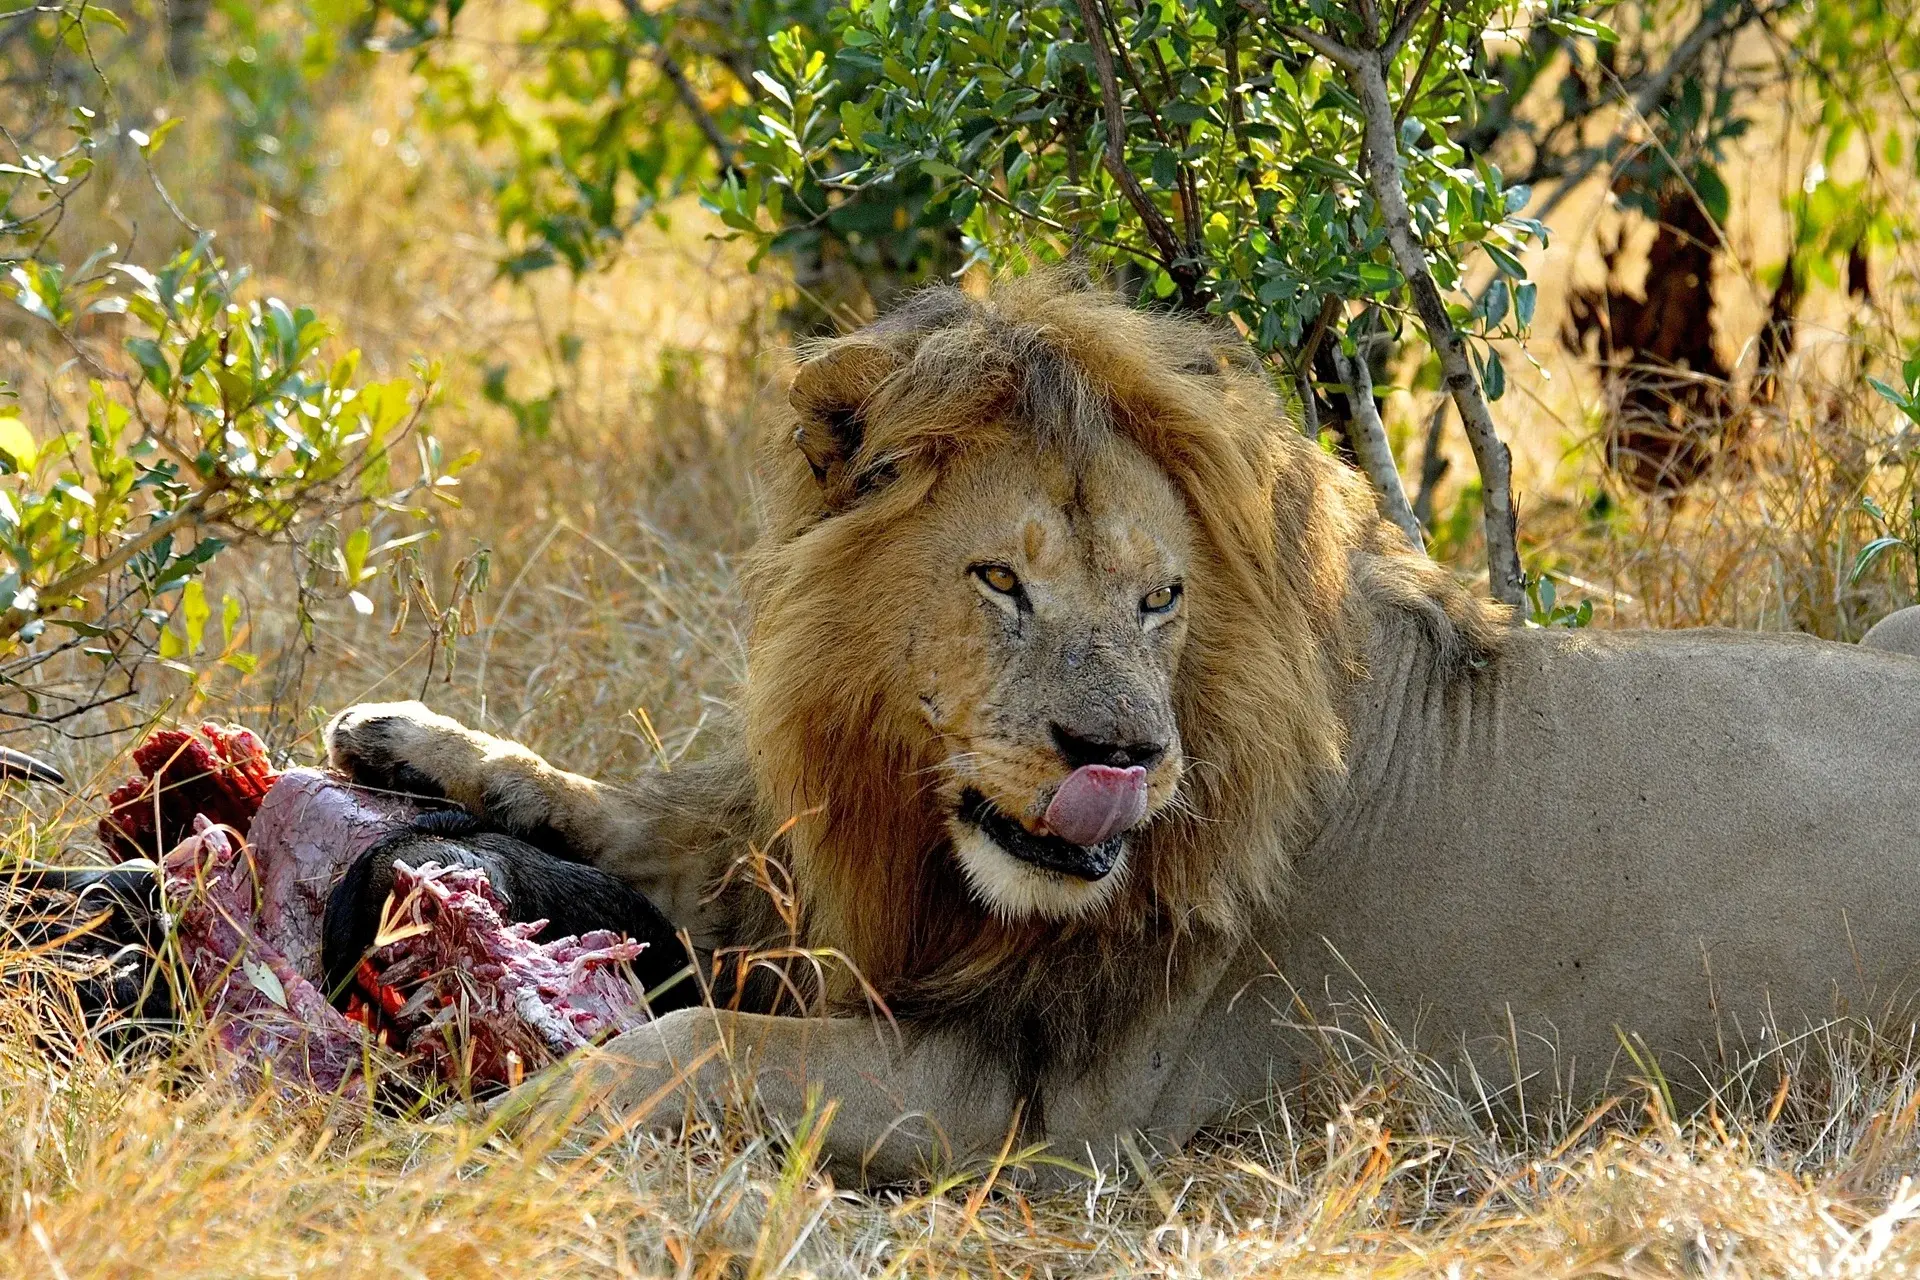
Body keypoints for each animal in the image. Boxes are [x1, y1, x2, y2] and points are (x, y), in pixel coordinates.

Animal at [325, 276, 1920, 1184]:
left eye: (1161, 598)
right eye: (1000, 581)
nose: (1122, 760)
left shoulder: (1042, 1108)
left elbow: (699, 1041)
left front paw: (465, 1139)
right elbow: (642, 809)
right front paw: (407, 739)